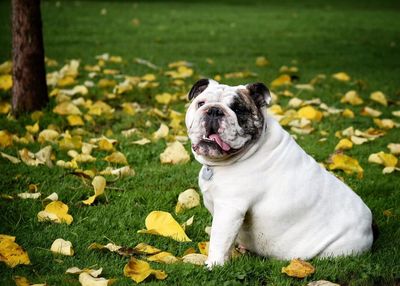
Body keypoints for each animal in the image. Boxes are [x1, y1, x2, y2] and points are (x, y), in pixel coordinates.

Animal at [185, 78, 376, 268]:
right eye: (201, 103)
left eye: (238, 109)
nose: (214, 110)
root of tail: (371, 226)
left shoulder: (230, 209)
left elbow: (219, 240)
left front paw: (214, 265)